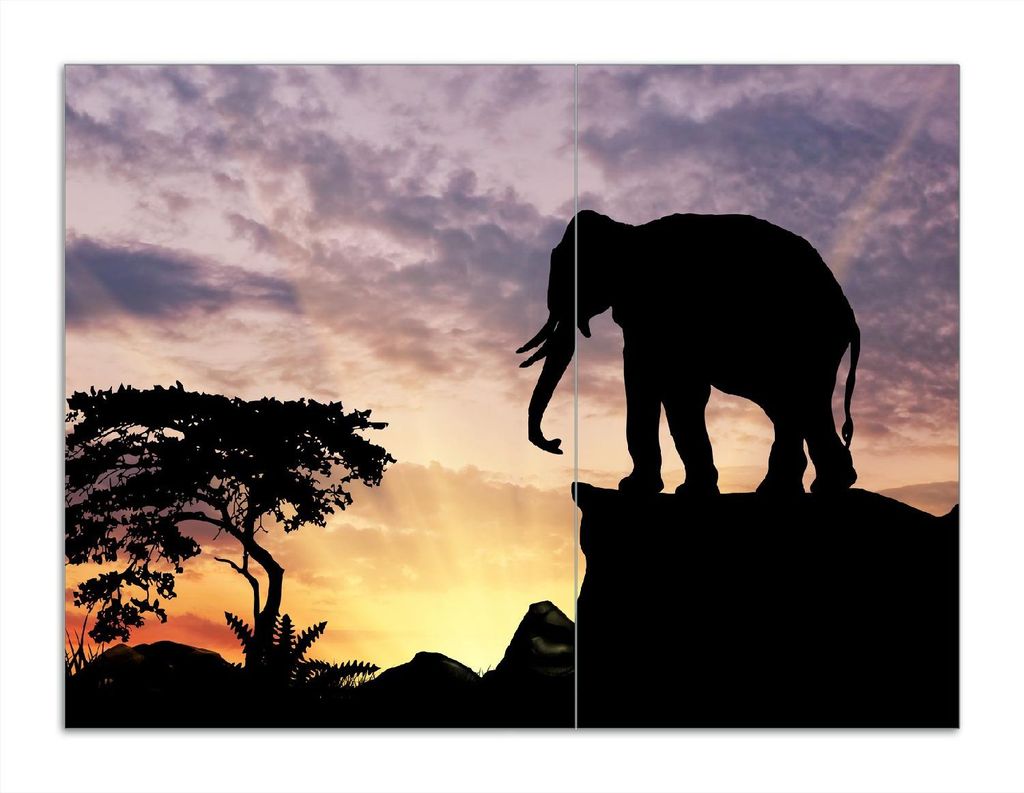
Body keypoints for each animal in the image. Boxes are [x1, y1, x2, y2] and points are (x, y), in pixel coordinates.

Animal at [517, 210, 860, 496]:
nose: (557, 444)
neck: (627, 232)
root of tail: (849, 312)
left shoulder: (660, 310)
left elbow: (664, 384)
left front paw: (637, 488)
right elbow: (676, 389)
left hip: (806, 342)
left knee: (798, 402)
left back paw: (809, 488)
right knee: (794, 406)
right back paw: (806, 487)